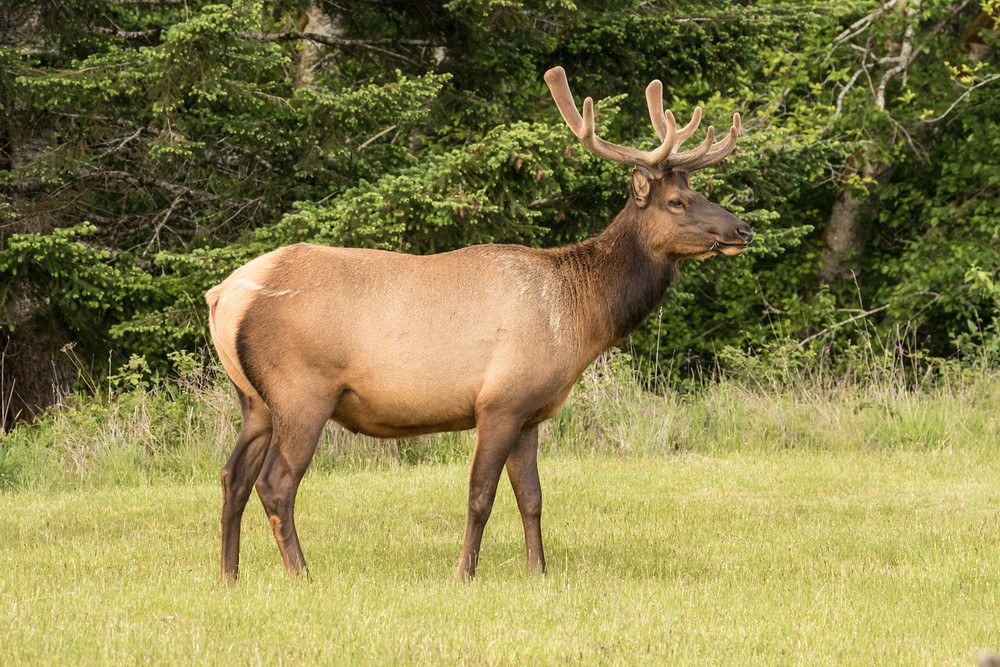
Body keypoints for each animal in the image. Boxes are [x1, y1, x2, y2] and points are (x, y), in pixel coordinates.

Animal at [205, 66, 753, 583]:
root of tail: (222, 296)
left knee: (232, 476)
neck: (579, 320)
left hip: (254, 399)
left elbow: (532, 496)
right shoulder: (499, 400)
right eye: (677, 202)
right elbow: (480, 495)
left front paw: (539, 572)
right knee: (275, 484)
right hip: (301, 391)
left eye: (699, 191)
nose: (742, 229)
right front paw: (463, 573)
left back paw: (229, 576)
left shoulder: (530, 411)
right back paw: (302, 574)